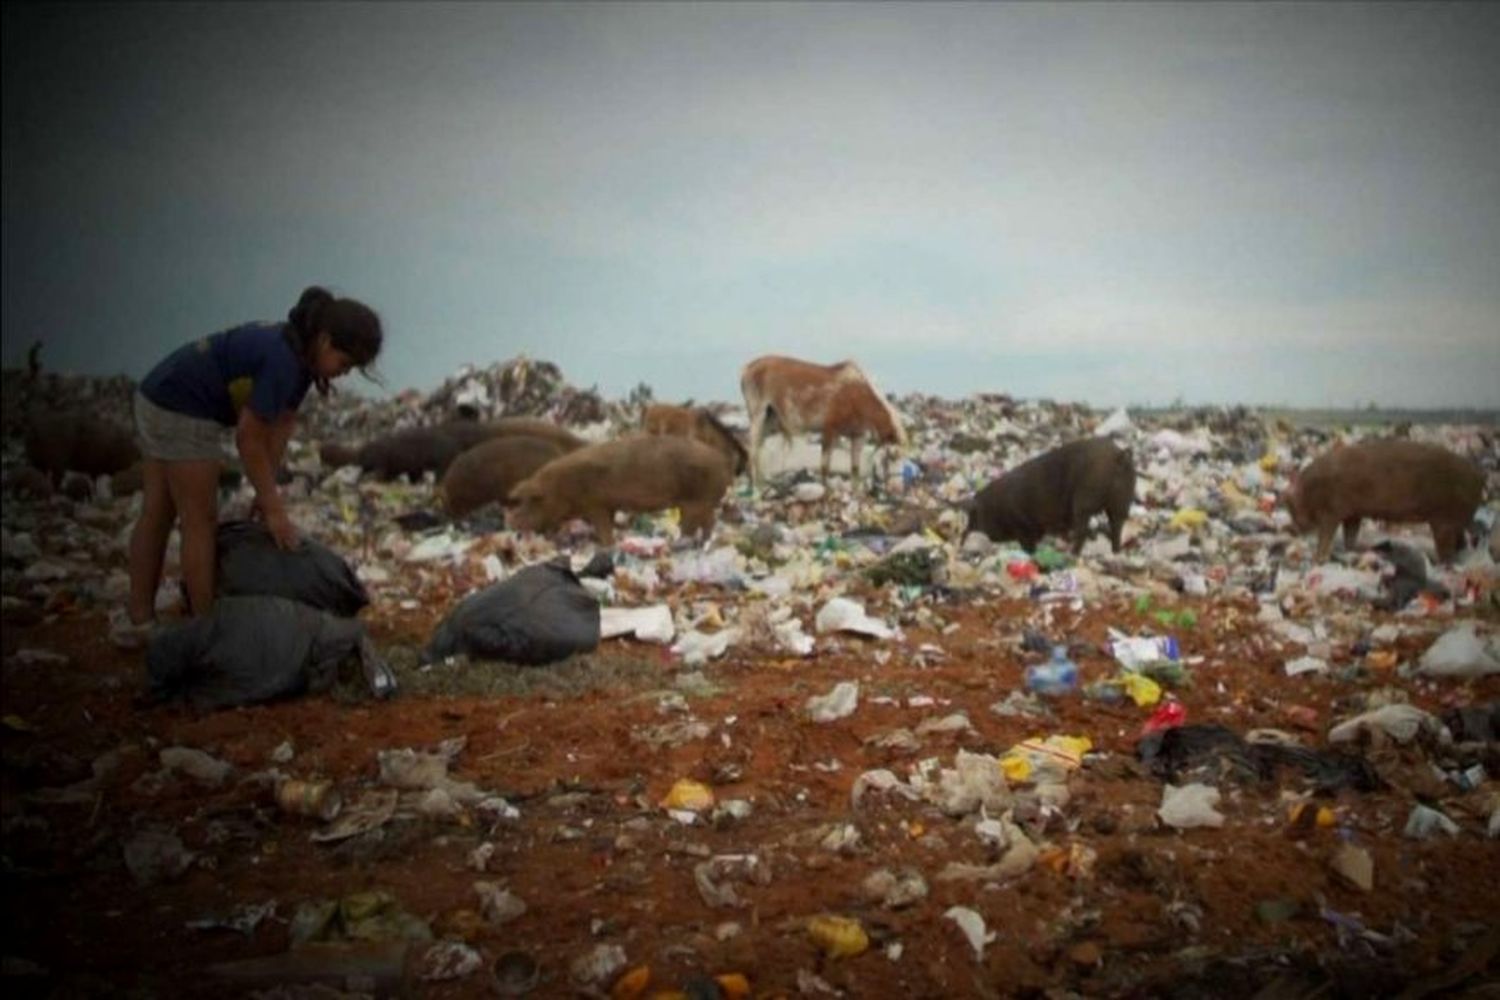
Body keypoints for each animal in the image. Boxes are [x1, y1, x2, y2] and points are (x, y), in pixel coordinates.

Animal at [507, 434, 735, 548]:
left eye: (533, 500)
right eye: (519, 500)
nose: (510, 519)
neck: (560, 487)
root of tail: (722, 461)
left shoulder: (595, 504)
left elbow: (603, 527)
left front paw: (607, 545)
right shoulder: (606, 506)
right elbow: (608, 523)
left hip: (696, 500)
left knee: (692, 524)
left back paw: (680, 544)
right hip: (702, 502)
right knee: (708, 522)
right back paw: (702, 541)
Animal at [966, 437, 1128, 554]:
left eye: (974, 517)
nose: (964, 537)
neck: (995, 508)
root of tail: (1118, 456)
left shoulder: (1023, 528)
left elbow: (1029, 545)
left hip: (1085, 502)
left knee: (1083, 529)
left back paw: (1073, 554)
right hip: (1121, 501)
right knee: (1116, 526)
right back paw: (1115, 552)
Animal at [1284, 437, 1482, 563]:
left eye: (1291, 507)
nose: (1291, 529)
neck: (1310, 490)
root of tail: (1479, 478)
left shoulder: (1331, 511)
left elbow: (1326, 534)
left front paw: (1318, 559)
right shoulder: (1353, 512)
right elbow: (1351, 533)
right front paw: (1350, 552)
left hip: (1445, 518)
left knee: (1448, 544)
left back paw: (1443, 563)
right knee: (1462, 538)